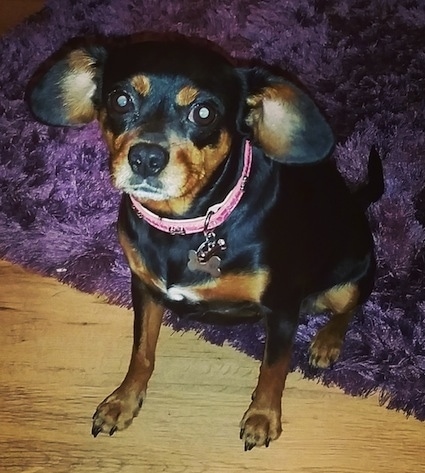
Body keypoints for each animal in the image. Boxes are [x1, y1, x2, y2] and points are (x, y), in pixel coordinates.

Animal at [28, 37, 382, 450]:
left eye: (204, 112)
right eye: (120, 100)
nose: (146, 157)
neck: (185, 226)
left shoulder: (282, 308)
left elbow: (273, 368)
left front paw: (263, 418)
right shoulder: (144, 289)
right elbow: (141, 352)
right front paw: (123, 401)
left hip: (349, 281)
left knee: (348, 308)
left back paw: (327, 341)